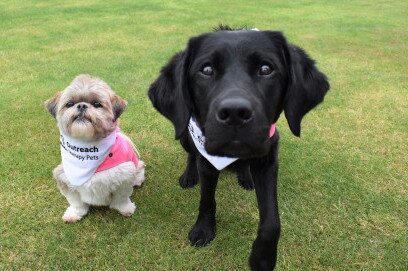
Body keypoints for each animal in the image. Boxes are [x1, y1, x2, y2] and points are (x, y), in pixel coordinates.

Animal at [44, 74, 145, 223]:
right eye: (69, 104)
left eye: (97, 104)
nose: (81, 105)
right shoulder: (64, 178)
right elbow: (76, 202)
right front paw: (74, 213)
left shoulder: (124, 178)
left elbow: (121, 199)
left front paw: (125, 209)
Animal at [148, 26, 330, 271]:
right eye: (206, 69)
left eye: (266, 69)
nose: (235, 113)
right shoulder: (207, 163)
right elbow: (207, 199)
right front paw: (203, 229)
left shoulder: (268, 160)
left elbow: (272, 221)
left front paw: (262, 257)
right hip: (185, 133)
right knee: (190, 154)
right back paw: (189, 175)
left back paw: (246, 176)